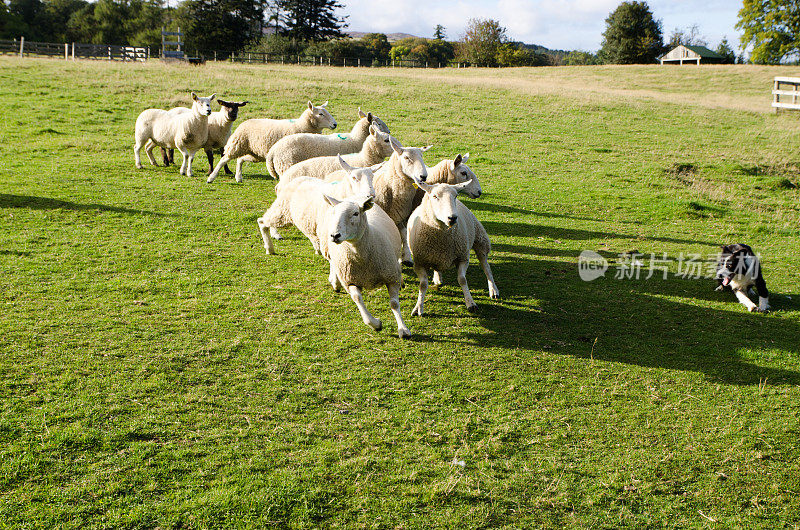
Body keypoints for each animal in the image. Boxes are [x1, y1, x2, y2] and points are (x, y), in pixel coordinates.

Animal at [208, 101, 336, 184]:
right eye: (320, 114)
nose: (335, 124)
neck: (301, 125)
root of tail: (244, 122)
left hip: (255, 153)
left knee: (240, 159)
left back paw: (238, 177)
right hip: (237, 144)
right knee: (224, 159)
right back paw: (211, 177)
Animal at [320, 194, 410, 338]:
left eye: (355, 213)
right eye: (334, 213)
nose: (335, 235)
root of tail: (357, 196)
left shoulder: (391, 277)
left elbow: (394, 304)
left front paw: (403, 329)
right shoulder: (350, 281)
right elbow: (357, 299)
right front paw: (376, 324)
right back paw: (335, 282)